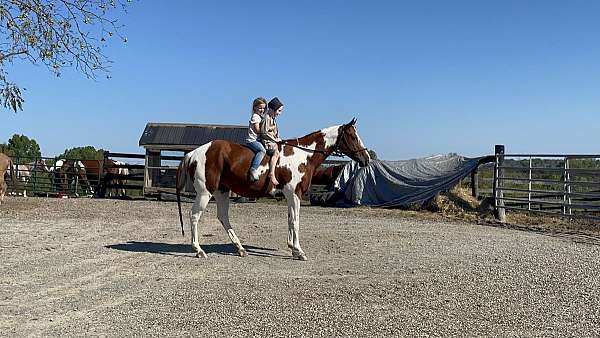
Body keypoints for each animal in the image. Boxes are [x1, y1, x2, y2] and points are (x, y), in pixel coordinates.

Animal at [175, 119, 370, 262]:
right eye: (353, 136)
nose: (366, 158)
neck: (304, 155)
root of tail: (192, 154)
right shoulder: (294, 193)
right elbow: (295, 221)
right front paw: (299, 251)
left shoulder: (290, 195)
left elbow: (291, 220)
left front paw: (292, 248)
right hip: (205, 193)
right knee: (194, 216)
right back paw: (199, 250)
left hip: (221, 192)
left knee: (223, 217)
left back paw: (240, 248)